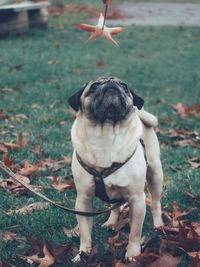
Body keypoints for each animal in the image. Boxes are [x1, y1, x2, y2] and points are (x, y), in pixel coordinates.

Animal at [68, 76, 163, 262]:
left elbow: (135, 232)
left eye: (124, 86)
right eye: (94, 86)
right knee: (115, 206)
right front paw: (83, 253)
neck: (106, 133)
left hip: (155, 174)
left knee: (156, 203)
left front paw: (133, 254)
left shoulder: (137, 199)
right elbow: (85, 232)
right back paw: (111, 222)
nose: (112, 84)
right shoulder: (83, 200)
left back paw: (159, 225)